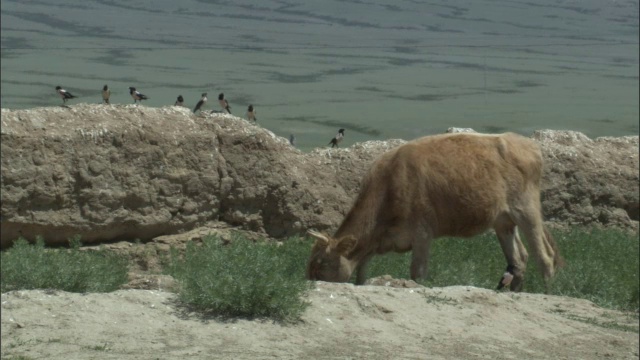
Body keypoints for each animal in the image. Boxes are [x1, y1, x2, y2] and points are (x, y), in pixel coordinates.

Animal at [308, 131, 564, 292]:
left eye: (321, 263)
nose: (309, 283)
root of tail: (524, 142)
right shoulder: (377, 242)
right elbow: (361, 271)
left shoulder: (422, 232)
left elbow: (417, 272)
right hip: (503, 220)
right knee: (519, 258)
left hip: (526, 210)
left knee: (545, 257)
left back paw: (546, 294)